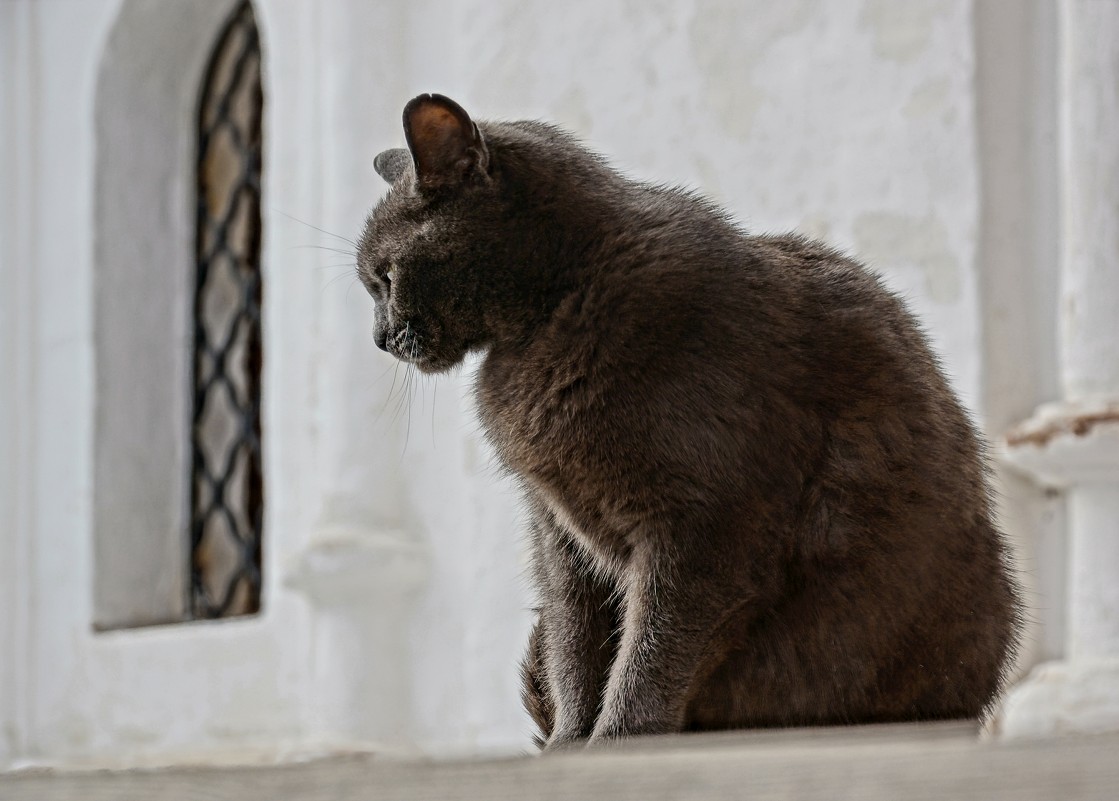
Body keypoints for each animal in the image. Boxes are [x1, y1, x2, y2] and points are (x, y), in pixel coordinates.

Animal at [358, 93, 1025, 751]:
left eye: (385, 277)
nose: (379, 339)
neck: (556, 308)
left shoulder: (703, 527)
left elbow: (650, 653)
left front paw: (616, 743)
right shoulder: (558, 535)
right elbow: (575, 650)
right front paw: (569, 747)